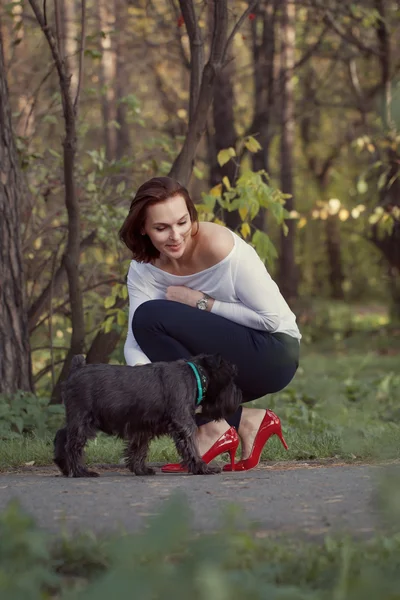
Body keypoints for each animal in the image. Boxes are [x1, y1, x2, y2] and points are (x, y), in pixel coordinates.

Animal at [52, 352, 241, 478]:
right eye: (232, 375)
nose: (239, 396)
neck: (196, 374)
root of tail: (76, 368)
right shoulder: (183, 423)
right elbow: (191, 446)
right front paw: (203, 468)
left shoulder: (142, 426)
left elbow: (139, 449)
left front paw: (140, 469)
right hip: (83, 420)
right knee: (73, 445)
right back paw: (81, 471)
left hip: (78, 419)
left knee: (62, 435)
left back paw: (64, 466)